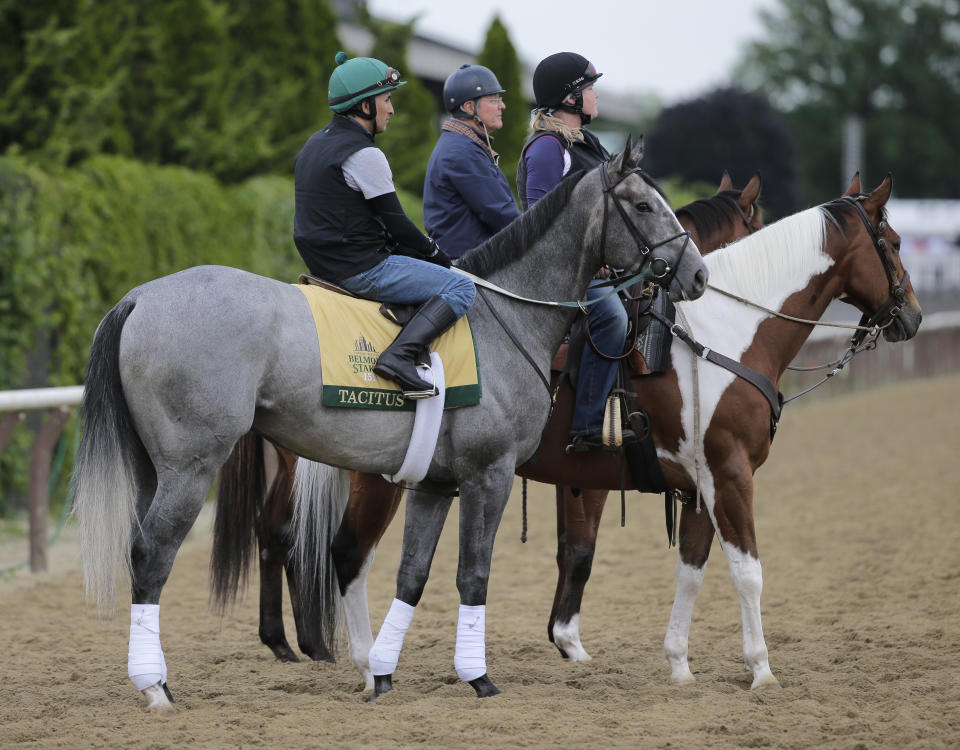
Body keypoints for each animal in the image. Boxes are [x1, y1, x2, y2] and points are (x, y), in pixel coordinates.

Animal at [71, 141, 708, 712]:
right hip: (192, 467)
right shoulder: (489, 474)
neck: (506, 314)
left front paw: (380, 671)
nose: (697, 275)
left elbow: (412, 576)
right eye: (644, 205)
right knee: (153, 555)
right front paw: (477, 677)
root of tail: (139, 297)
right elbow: (473, 574)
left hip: (155, 470)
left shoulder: (435, 484)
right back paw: (155, 686)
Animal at [288, 172, 920, 692]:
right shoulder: (730, 473)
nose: (910, 315)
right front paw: (761, 670)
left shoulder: (697, 483)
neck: (728, 333)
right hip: (380, 477)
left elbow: (689, 569)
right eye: (892, 243)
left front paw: (679, 664)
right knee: (349, 556)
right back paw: (368, 666)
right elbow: (748, 572)